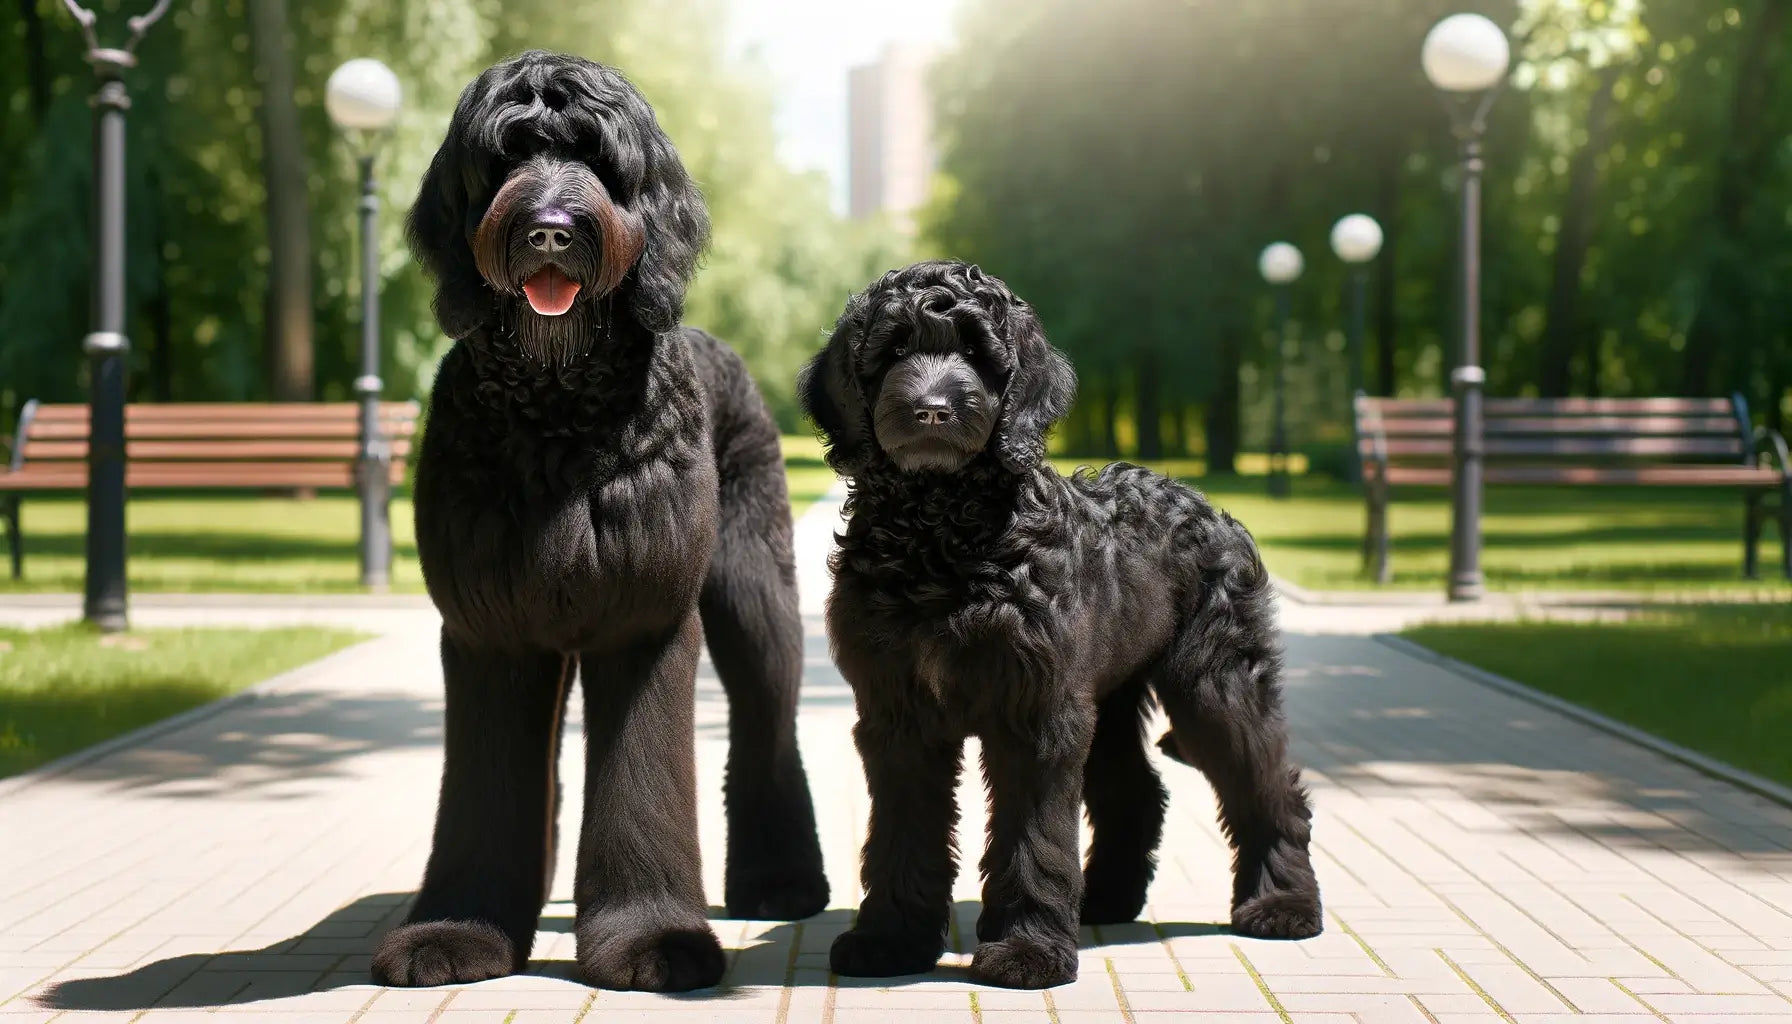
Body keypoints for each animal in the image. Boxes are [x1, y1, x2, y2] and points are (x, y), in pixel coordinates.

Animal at [379, 54, 831, 997]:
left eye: (596, 155)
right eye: (507, 155)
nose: (551, 231)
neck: (556, 412)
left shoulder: (644, 620)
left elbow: (644, 781)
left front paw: (653, 940)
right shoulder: (490, 632)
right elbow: (484, 788)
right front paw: (457, 931)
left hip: (755, 591)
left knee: (766, 722)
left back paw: (781, 882)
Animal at [799, 260, 1318, 989]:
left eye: (974, 353)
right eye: (895, 349)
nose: (930, 409)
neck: (942, 535)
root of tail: (1210, 507)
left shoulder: (1036, 709)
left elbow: (1033, 834)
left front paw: (1026, 951)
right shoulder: (897, 712)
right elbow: (902, 830)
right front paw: (890, 939)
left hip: (1216, 683)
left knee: (1270, 789)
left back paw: (1283, 905)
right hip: (1107, 694)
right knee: (1137, 791)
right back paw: (1103, 900)